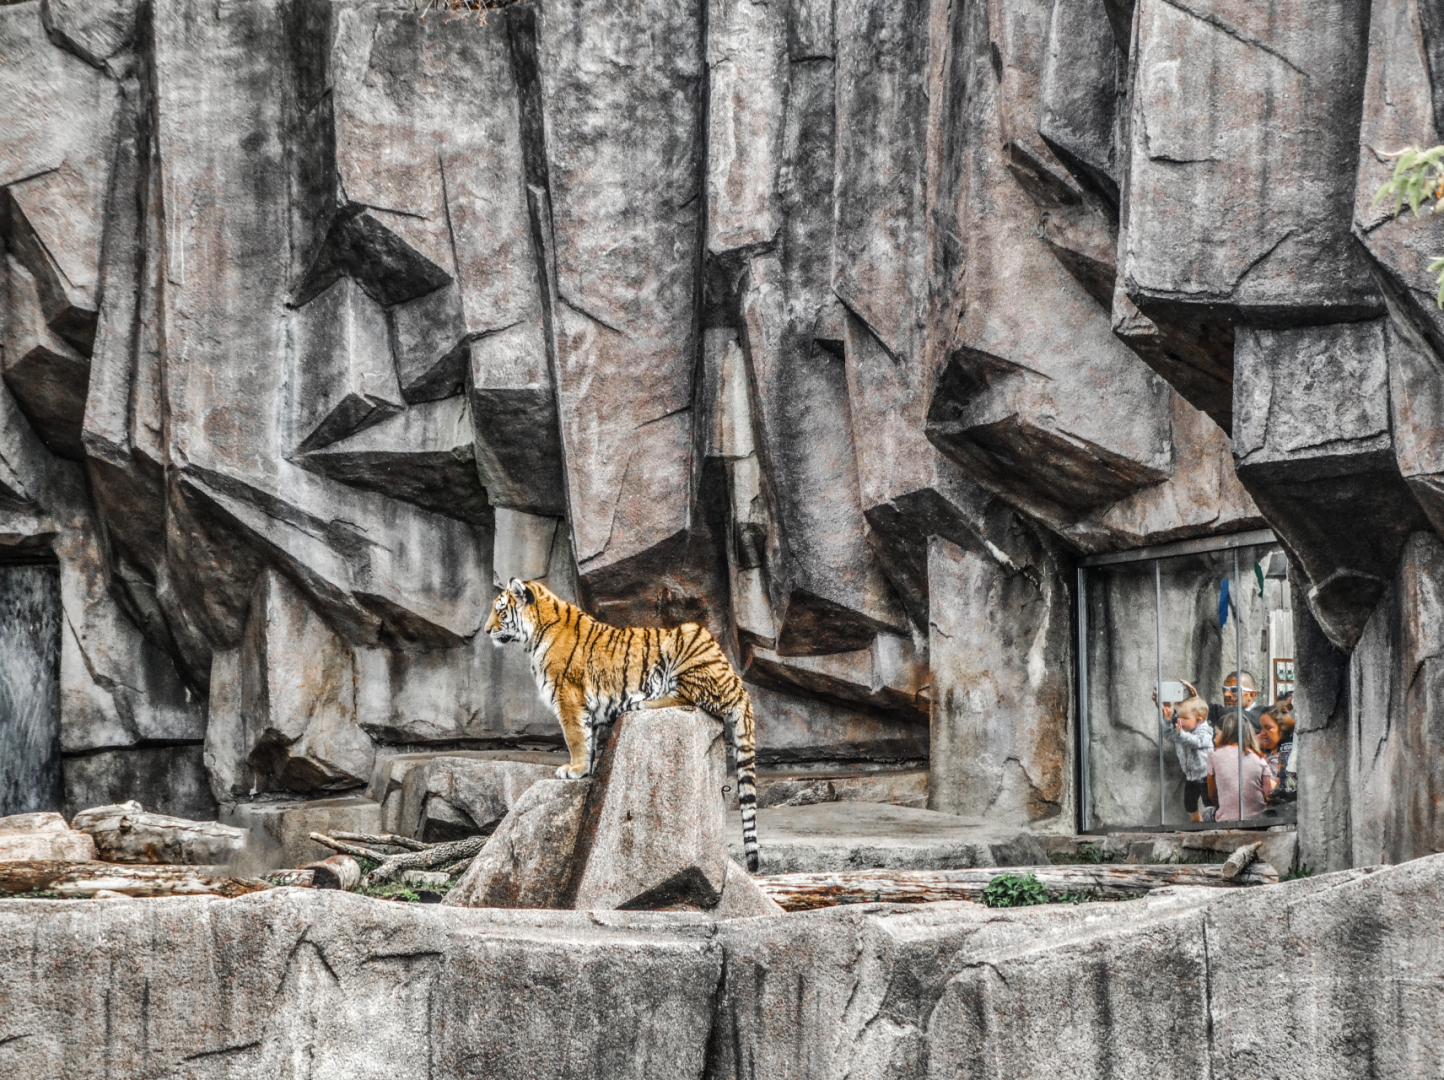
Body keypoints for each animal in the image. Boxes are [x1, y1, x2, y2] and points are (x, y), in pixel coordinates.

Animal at [484, 577, 761, 872]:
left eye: (501, 610)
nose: (487, 630)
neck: (536, 633)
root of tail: (735, 680)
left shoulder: (568, 696)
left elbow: (574, 737)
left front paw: (573, 770)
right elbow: (588, 738)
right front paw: (586, 769)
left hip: (690, 639)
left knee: (689, 697)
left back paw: (642, 703)